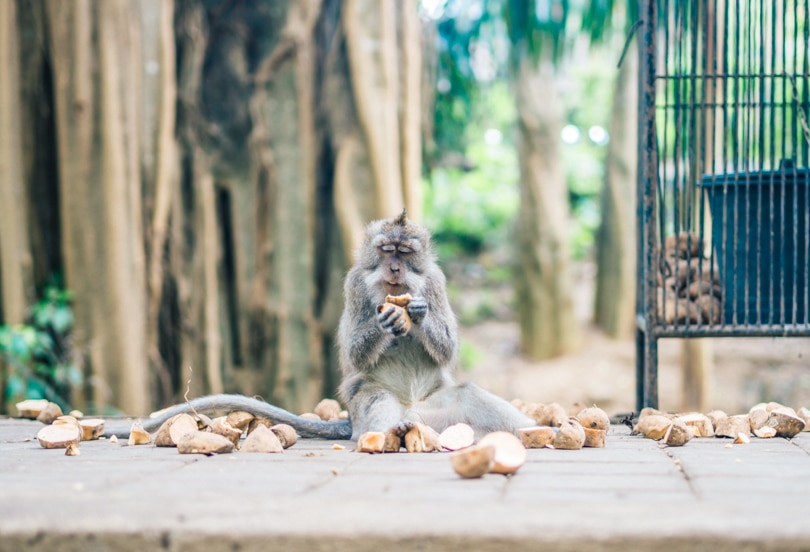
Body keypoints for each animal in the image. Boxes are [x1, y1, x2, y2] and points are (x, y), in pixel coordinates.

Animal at [101, 211, 532, 440]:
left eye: (405, 252)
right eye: (386, 250)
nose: (394, 269)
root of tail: (421, 416)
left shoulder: (436, 281)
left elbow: (447, 348)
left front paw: (418, 312)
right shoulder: (354, 283)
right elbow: (354, 351)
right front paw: (384, 321)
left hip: (443, 409)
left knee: (470, 395)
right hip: (368, 406)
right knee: (376, 402)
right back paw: (387, 433)